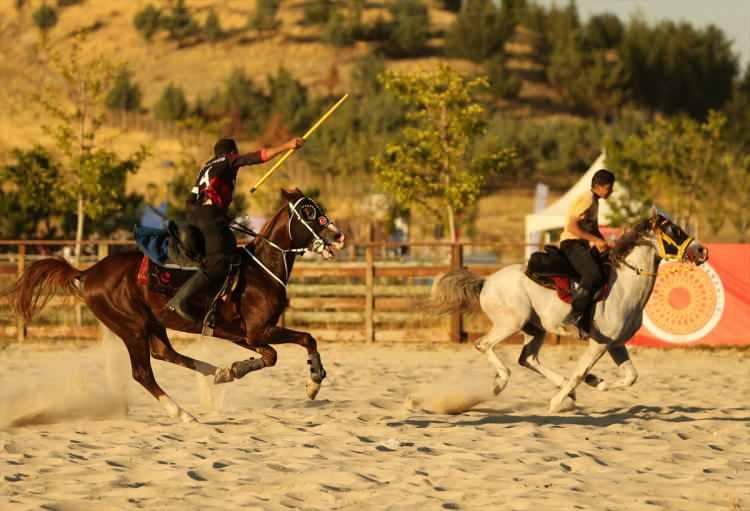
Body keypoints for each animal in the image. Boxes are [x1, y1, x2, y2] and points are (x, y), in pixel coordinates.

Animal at [7, 190, 348, 422]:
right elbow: (304, 339)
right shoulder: (259, 330)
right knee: (143, 373)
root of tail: (87, 273)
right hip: (132, 328)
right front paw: (314, 383)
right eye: (308, 211)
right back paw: (182, 413)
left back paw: (215, 372)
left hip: (152, 323)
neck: (260, 269)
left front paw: (233, 370)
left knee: (166, 354)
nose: (339, 235)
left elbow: (269, 356)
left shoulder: (243, 334)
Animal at [432, 208, 708, 412]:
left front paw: (595, 381)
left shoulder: (615, 344)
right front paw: (557, 402)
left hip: (536, 329)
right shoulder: (599, 343)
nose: (702, 250)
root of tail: (486, 282)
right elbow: (579, 372)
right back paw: (501, 381)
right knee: (484, 345)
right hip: (510, 323)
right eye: (674, 230)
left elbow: (630, 377)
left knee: (528, 358)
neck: (624, 286)